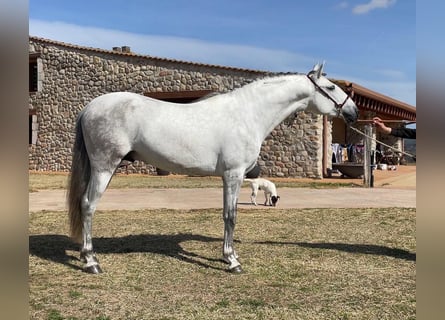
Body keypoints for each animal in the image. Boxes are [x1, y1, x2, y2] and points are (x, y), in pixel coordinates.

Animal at [67, 63, 358, 276]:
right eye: (330, 87)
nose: (353, 112)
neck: (247, 114)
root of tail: (89, 108)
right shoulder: (233, 174)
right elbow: (231, 216)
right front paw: (232, 261)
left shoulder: (229, 177)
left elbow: (227, 214)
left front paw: (229, 255)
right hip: (105, 167)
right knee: (88, 205)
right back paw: (91, 261)